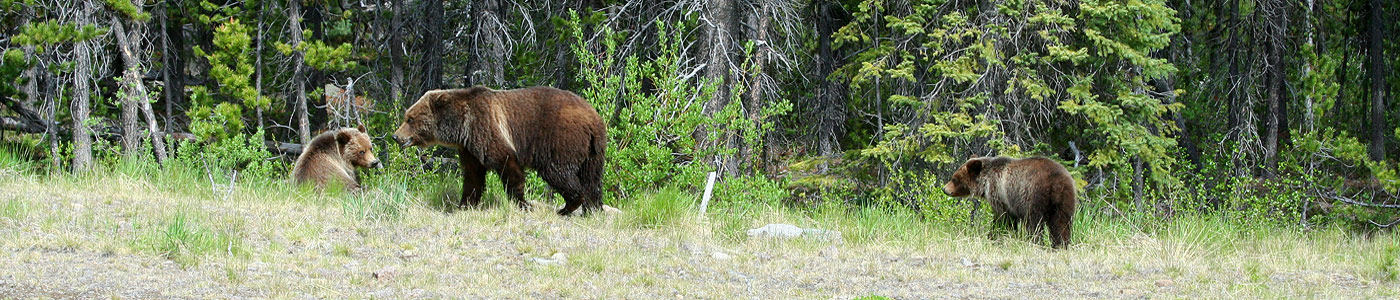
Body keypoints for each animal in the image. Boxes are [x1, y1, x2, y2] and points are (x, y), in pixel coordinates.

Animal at [397, 86, 610, 215]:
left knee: (559, 172)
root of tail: (594, 118)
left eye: (410, 118)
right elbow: (473, 177)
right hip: (593, 151)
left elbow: (508, 166)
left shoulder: (487, 128)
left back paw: (567, 207)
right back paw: (593, 209)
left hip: (560, 139)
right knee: (592, 178)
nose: (395, 136)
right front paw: (465, 204)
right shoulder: (469, 149)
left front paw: (523, 203)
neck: (462, 127)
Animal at [946, 155, 1075, 246]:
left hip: (1032, 196)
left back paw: (1034, 242)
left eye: (954, 179)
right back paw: (1061, 245)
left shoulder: (1000, 194)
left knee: (1034, 223)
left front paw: (994, 235)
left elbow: (1003, 219)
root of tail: (1056, 183)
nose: (945, 189)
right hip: (1065, 199)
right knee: (1061, 223)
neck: (985, 182)